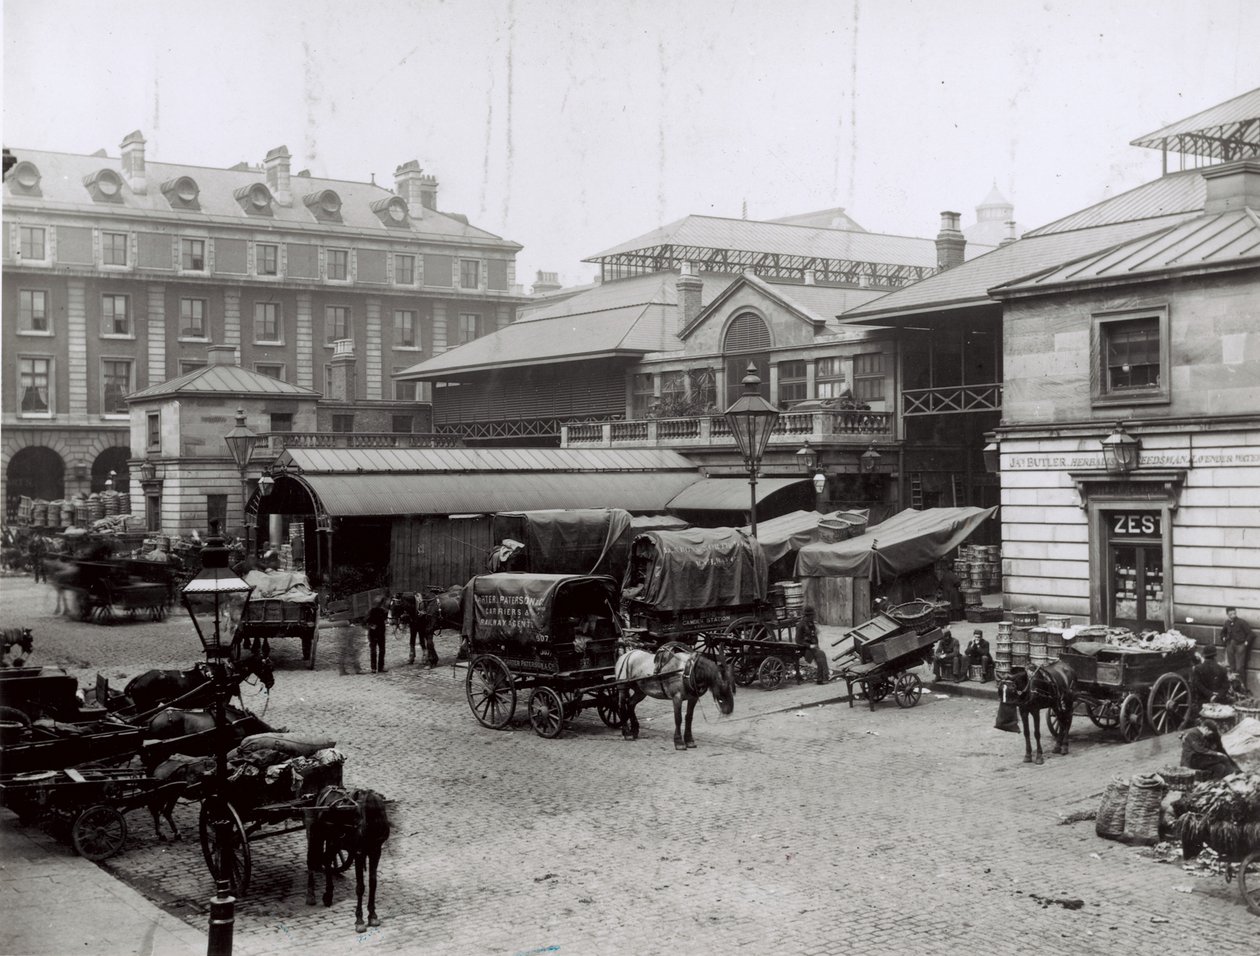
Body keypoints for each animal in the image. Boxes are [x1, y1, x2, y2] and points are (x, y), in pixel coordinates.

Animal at [122, 649, 273, 715]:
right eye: (268, 666)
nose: (272, 682)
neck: (226, 672)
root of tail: (139, 678)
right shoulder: (222, 701)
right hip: (147, 707)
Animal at [303, 785, 388, 937]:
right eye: (351, 813)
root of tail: (325, 789)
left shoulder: (375, 852)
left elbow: (373, 883)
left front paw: (373, 915)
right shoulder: (359, 853)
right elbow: (360, 887)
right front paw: (359, 921)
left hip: (334, 842)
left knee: (327, 860)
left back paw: (328, 894)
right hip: (315, 834)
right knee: (311, 860)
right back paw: (311, 895)